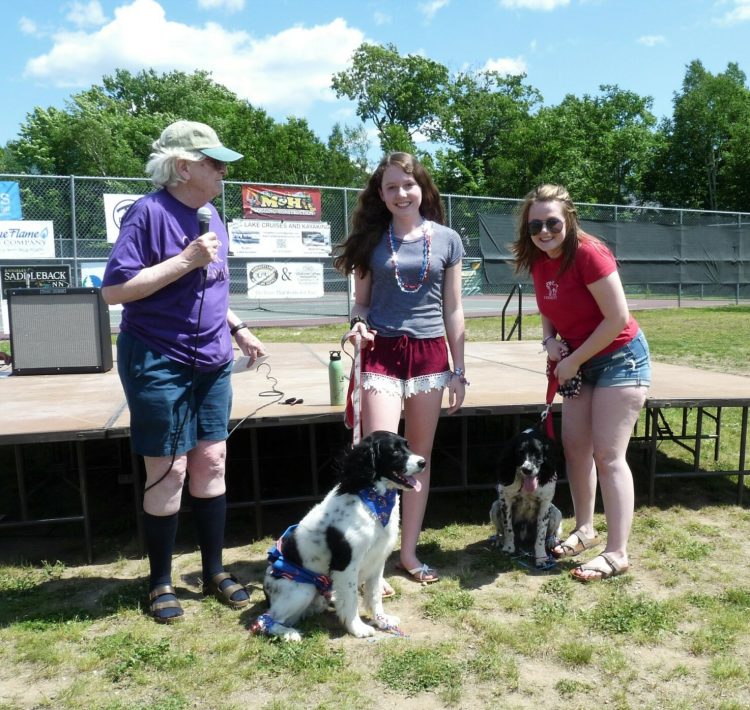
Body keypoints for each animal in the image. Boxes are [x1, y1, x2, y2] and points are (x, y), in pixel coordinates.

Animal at [253, 432, 426, 644]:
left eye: (407, 446)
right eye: (394, 451)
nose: (423, 462)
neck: (372, 502)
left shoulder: (378, 560)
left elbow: (374, 595)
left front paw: (383, 621)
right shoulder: (346, 565)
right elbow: (351, 599)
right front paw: (358, 628)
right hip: (303, 589)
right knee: (266, 619)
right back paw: (289, 633)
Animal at [490, 426, 560, 572]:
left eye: (538, 453)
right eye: (520, 452)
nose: (527, 470)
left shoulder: (545, 504)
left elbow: (541, 535)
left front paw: (541, 558)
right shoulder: (505, 500)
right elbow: (508, 529)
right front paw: (508, 548)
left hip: (556, 512)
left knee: (552, 533)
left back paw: (552, 541)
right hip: (494, 508)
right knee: (500, 531)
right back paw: (499, 540)